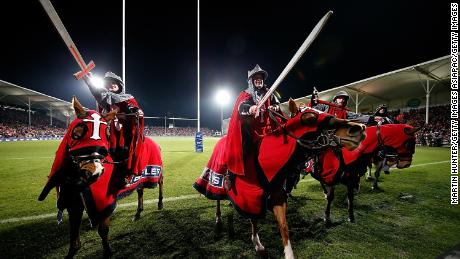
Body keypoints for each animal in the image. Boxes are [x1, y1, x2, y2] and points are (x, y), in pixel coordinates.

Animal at [38, 97, 164, 258]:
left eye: (107, 133)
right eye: (77, 131)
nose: (93, 172)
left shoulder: (103, 202)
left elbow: (103, 230)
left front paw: (107, 251)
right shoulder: (73, 203)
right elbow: (74, 231)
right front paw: (72, 250)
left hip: (156, 171)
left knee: (160, 181)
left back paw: (160, 203)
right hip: (139, 179)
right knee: (140, 190)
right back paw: (138, 212)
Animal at [194, 100, 366, 258]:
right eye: (309, 117)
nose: (358, 128)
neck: (266, 161)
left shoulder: (277, 198)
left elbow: (283, 227)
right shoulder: (249, 196)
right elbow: (254, 218)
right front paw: (257, 242)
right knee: (216, 198)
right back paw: (218, 218)